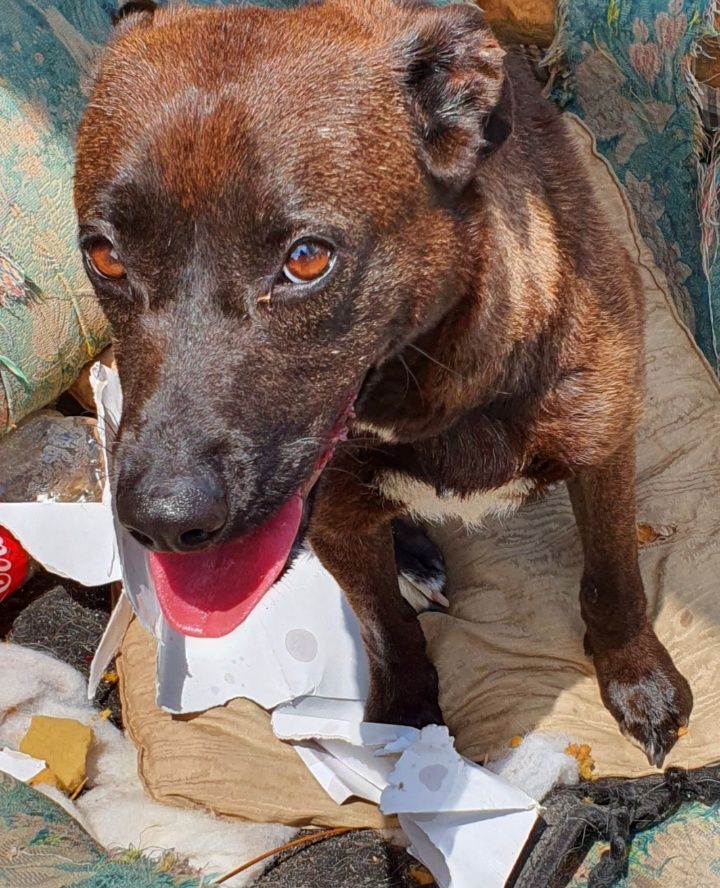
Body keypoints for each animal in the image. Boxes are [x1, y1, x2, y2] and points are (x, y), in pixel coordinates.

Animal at [74, 0, 692, 764]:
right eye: (104, 255)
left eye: (307, 259)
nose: (162, 522)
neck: (435, 397)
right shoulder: (336, 520)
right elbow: (385, 625)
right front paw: (403, 722)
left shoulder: (603, 450)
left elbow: (613, 581)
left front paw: (640, 682)